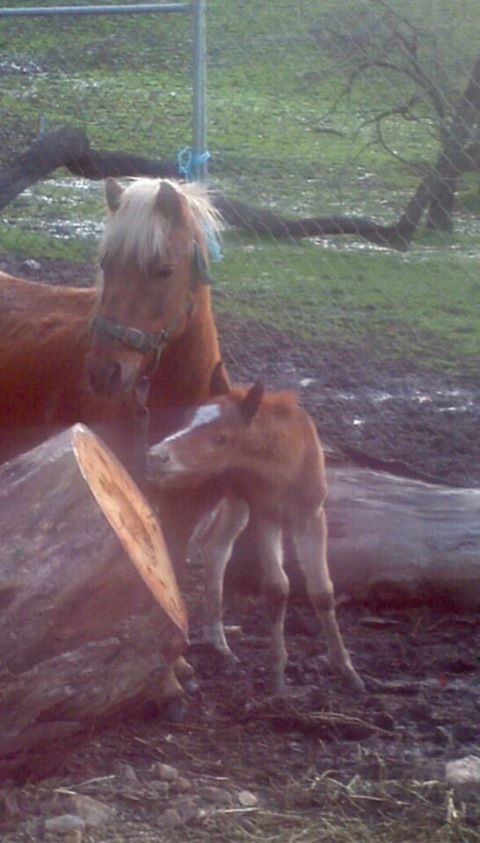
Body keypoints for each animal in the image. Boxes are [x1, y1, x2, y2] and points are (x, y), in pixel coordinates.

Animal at [147, 363, 364, 696]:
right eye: (188, 420)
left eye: (222, 439)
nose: (156, 454)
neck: (285, 465)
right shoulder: (266, 514)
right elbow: (277, 587)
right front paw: (277, 676)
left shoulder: (311, 515)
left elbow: (323, 590)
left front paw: (346, 669)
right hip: (194, 497)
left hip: (236, 502)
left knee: (215, 546)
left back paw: (219, 642)